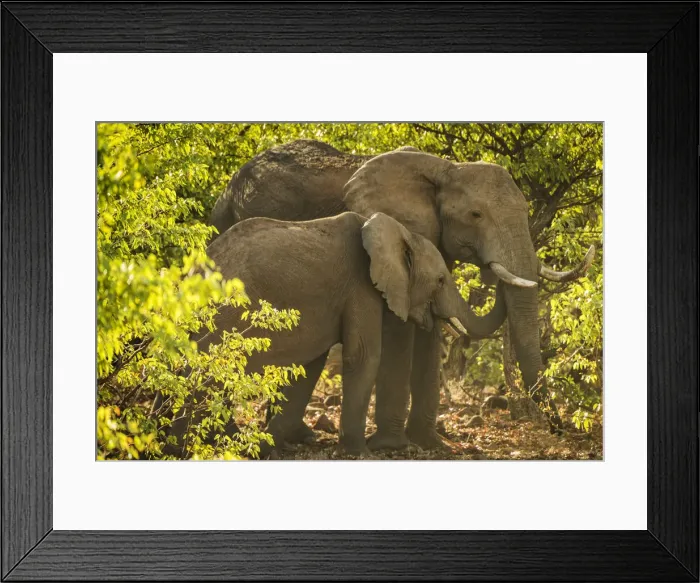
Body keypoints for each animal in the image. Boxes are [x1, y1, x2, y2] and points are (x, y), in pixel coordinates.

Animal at [167, 211, 506, 457]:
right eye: (440, 281)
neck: (396, 232)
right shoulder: (360, 287)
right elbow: (363, 355)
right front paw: (359, 454)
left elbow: (308, 365)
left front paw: (270, 443)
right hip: (226, 318)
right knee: (209, 377)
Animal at [209, 140, 594, 449]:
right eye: (476, 214)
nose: (560, 430)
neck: (445, 169)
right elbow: (399, 329)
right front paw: (391, 446)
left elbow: (430, 329)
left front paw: (432, 445)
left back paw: (297, 437)